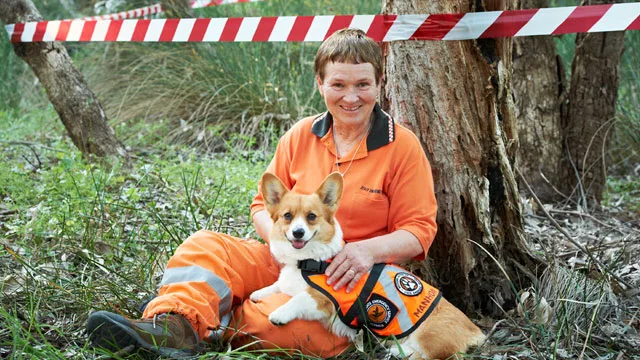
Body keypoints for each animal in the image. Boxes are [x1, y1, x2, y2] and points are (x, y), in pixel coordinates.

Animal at [250, 173, 484, 358]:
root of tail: (475, 330)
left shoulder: (323, 300)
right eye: (288, 216)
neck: (307, 261)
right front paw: (258, 293)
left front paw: (279, 314)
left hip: (429, 338)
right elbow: (277, 285)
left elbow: (297, 299)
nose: (298, 233)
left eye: (311, 217)